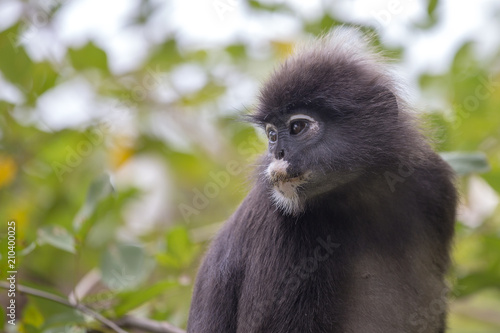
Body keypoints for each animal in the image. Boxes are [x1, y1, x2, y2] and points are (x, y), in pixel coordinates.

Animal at [187, 28, 458, 332]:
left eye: (297, 127)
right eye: (272, 135)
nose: (277, 153)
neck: (360, 195)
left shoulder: (433, 185)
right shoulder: (278, 221)